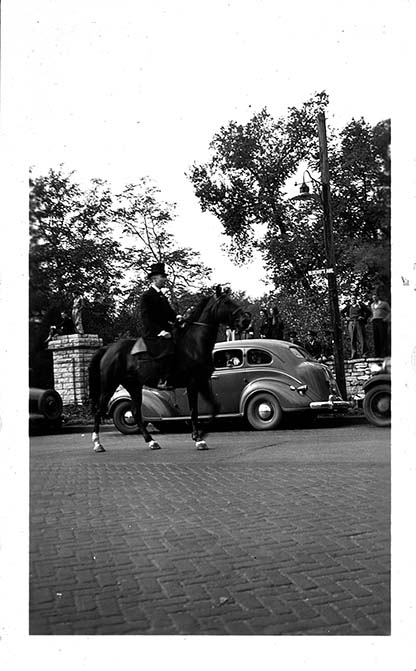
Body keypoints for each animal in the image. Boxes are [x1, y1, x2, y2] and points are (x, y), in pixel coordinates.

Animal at [88, 285, 250, 452]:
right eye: (226, 302)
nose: (246, 320)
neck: (193, 344)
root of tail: (108, 348)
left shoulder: (203, 382)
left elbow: (215, 407)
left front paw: (201, 434)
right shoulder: (192, 383)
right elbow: (194, 411)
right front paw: (198, 438)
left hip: (134, 386)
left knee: (136, 412)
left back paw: (151, 441)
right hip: (109, 385)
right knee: (99, 410)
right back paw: (97, 443)